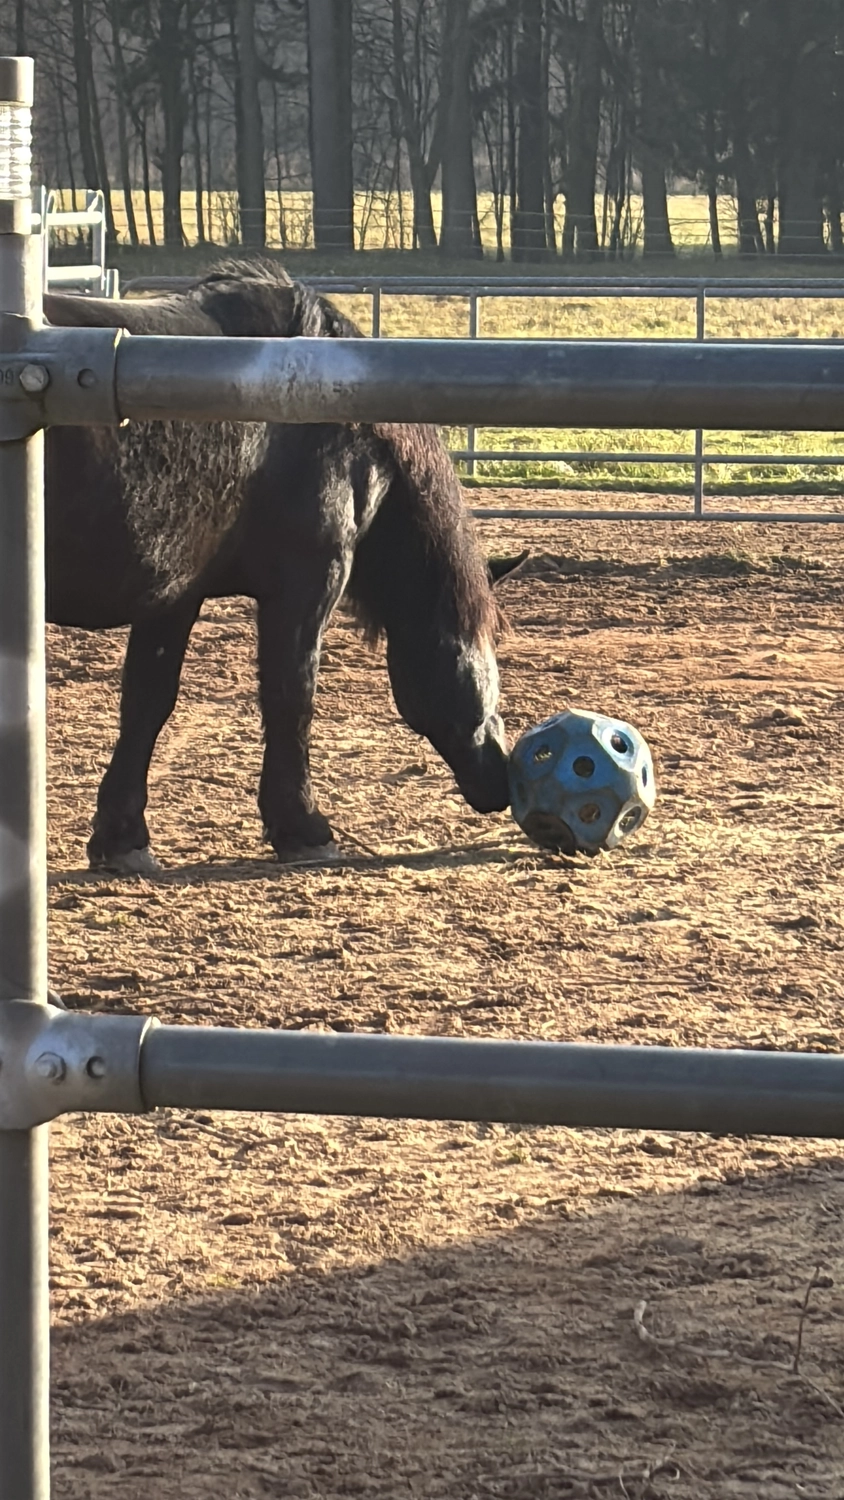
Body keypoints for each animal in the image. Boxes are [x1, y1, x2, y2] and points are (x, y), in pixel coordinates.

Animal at [44, 260, 524, 873]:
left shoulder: (173, 593)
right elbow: (291, 696)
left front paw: (123, 838)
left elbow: (147, 704)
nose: (500, 776)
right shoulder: (306, 587)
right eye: (488, 652)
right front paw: (304, 828)